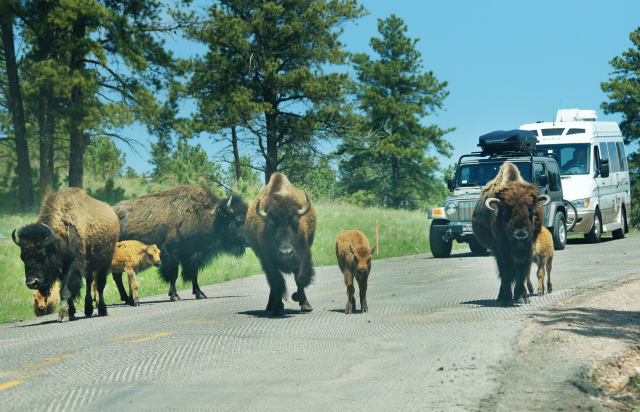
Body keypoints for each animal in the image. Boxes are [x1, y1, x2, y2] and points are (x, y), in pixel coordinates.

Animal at [11, 189, 119, 322]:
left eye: (42, 256)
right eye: (23, 257)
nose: (31, 283)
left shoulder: (73, 266)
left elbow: (66, 290)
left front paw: (63, 315)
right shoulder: (63, 269)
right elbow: (68, 290)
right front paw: (71, 312)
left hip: (105, 262)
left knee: (100, 284)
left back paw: (102, 310)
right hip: (89, 265)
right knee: (89, 283)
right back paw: (88, 309)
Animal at [112, 185, 248, 300]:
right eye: (238, 219)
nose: (248, 240)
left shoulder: (193, 254)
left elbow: (193, 273)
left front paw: (200, 294)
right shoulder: (172, 254)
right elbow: (174, 274)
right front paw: (174, 296)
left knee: (117, 276)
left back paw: (125, 298)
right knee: (116, 276)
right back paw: (125, 298)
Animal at [245, 172, 316, 318]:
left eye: (296, 223)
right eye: (271, 226)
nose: (286, 252)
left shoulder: (303, 254)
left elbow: (301, 278)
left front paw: (301, 300)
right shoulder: (268, 260)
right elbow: (277, 283)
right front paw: (278, 308)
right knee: (273, 285)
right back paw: (270, 305)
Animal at [470, 163, 552, 304]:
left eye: (532, 212)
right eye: (505, 213)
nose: (520, 239)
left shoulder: (528, 247)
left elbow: (521, 271)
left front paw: (522, 296)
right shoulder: (501, 249)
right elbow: (507, 271)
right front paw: (508, 298)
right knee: (503, 273)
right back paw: (501, 297)